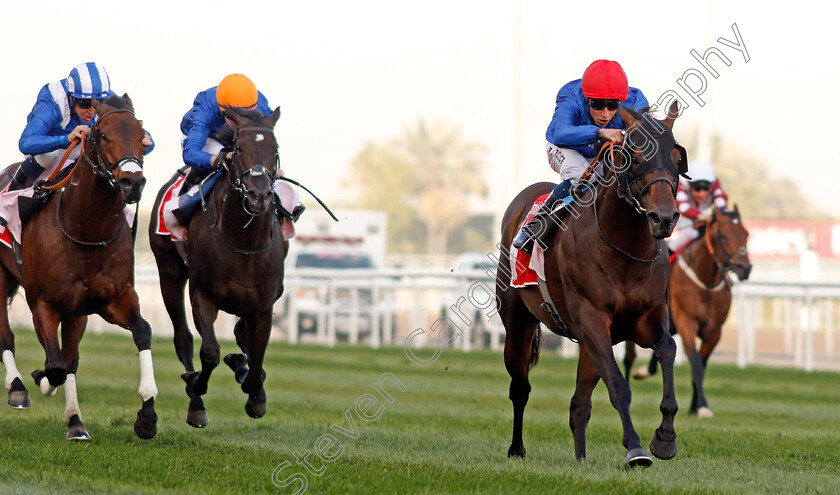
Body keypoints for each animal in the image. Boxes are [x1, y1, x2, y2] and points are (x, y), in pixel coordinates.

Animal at [0, 96, 158, 442]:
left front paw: (146, 415)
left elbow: (142, 331)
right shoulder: (42, 302)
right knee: (6, 335)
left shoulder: (107, 300)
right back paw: (18, 387)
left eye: (141, 135)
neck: (86, 230)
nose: (133, 182)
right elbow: (57, 365)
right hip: (1, 278)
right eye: (104, 135)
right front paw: (42, 378)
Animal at [153, 106, 290, 428]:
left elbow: (257, 360)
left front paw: (255, 394)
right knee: (183, 338)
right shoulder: (203, 295)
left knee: (242, 336)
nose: (258, 195)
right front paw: (196, 389)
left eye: (275, 149)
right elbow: (210, 352)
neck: (243, 241)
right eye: (238, 149)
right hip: (169, 272)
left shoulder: (264, 304)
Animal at [496, 102, 684, 466]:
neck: (623, 247)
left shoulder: (646, 316)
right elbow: (618, 384)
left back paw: (581, 459)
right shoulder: (593, 317)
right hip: (517, 321)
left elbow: (668, 348)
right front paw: (635, 448)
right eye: (635, 156)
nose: (664, 218)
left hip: (584, 341)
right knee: (520, 387)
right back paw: (516, 449)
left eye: (676, 156)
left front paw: (665, 437)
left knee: (578, 405)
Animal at [628, 205, 752, 418]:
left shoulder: (714, 332)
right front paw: (702, 406)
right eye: (723, 235)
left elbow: (701, 365)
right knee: (628, 358)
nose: (745, 267)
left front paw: (696, 406)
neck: (706, 282)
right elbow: (696, 366)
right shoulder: (687, 324)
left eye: (746, 234)